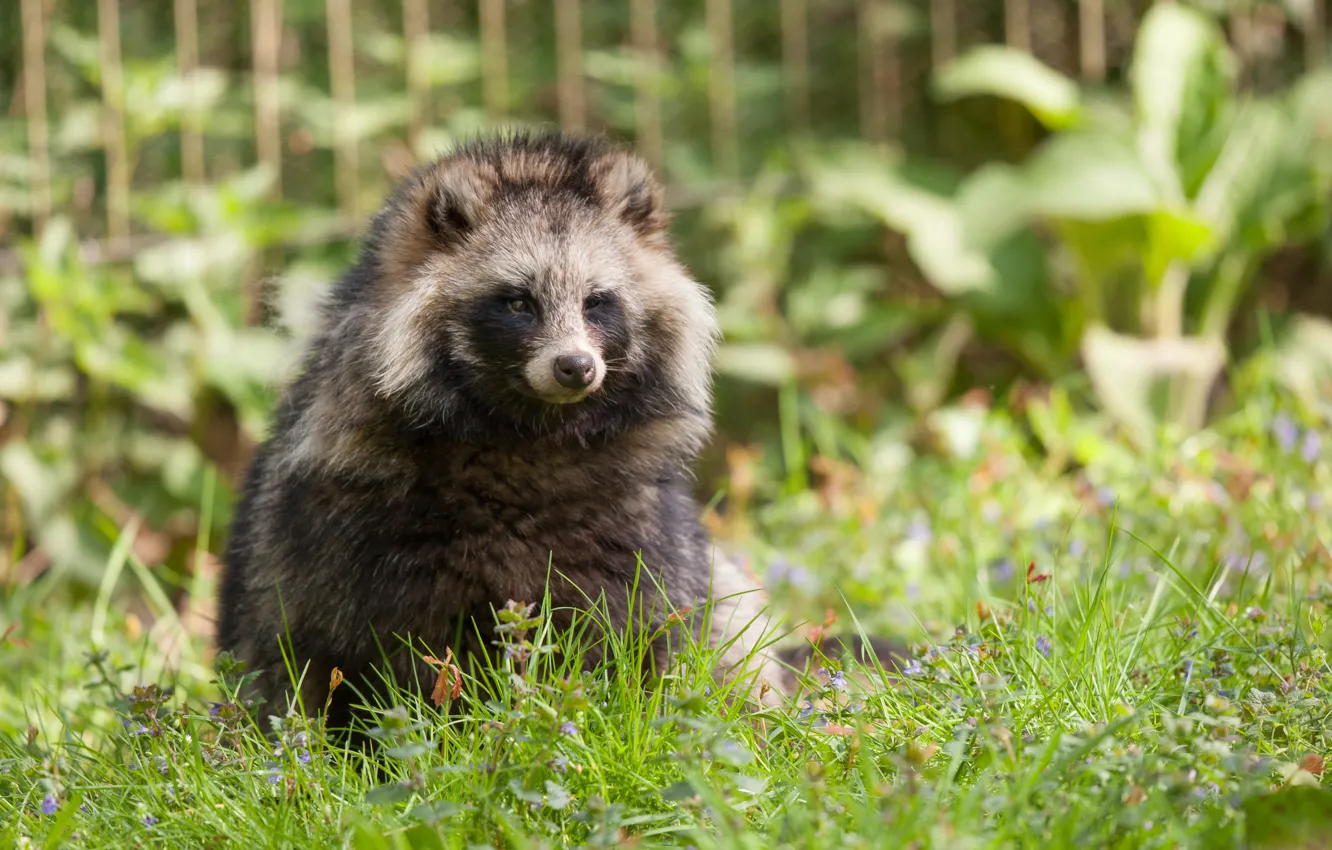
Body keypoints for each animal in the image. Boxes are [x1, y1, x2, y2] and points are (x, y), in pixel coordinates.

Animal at [213, 129, 783, 735]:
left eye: (597, 301)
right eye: (517, 301)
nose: (576, 367)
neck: (531, 433)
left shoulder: (634, 521)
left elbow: (632, 625)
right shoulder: (370, 521)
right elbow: (410, 650)